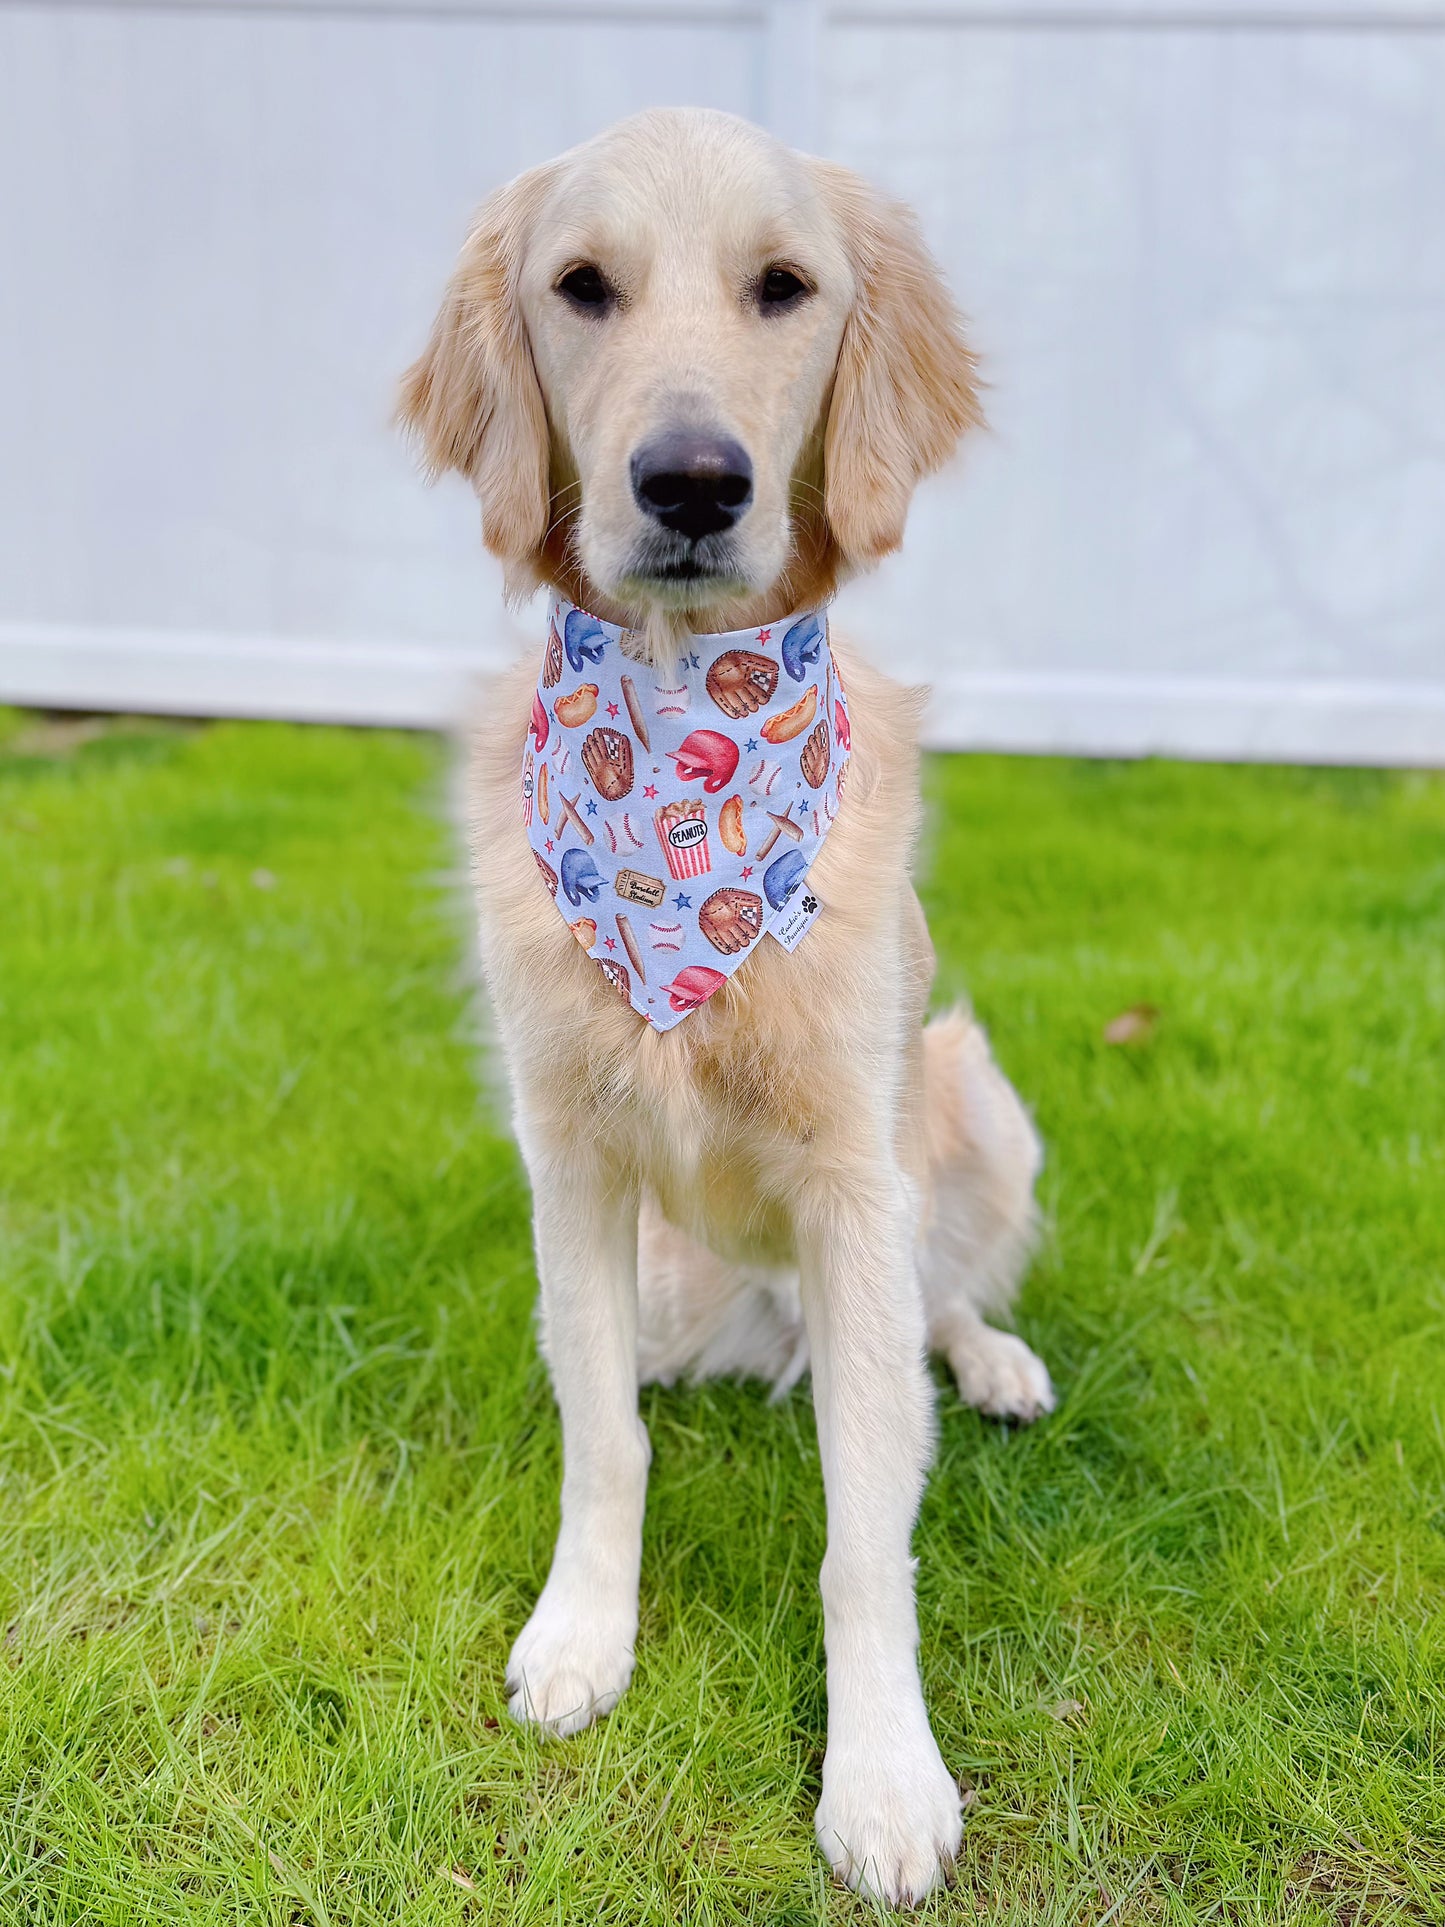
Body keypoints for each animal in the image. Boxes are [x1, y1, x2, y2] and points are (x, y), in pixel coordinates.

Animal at [402, 109, 1055, 1911]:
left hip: (974, 1099)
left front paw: (885, 1777)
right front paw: (582, 1635)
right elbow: (602, 1437)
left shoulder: (853, 1177)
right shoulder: (569, 1159)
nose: (691, 483)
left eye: (784, 287)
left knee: (941, 1306)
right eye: (581, 286)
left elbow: (865, 1530)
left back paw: (995, 1359)